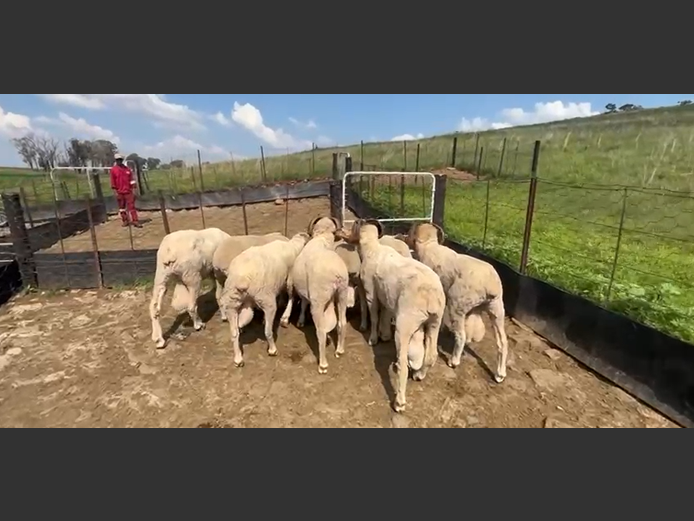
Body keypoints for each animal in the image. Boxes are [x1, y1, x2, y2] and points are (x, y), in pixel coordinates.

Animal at [219, 233, 311, 368]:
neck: (293, 246)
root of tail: (242, 278)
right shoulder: (289, 279)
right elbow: (291, 297)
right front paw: (284, 318)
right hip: (267, 300)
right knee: (267, 330)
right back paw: (272, 349)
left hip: (232, 305)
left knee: (234, 333)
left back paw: (238, 358)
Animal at [279, 217, 352, 374]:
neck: (322, 238)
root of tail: (336, 274)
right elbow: (303, 301)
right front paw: (300, 319)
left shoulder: (294, 281)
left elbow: (292, 297)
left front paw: (286, 318)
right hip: (342, 295)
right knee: (342, 323)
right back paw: (339, 350)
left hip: (318, 301)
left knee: (321, 332)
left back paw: (323, 365)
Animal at [338, 219, 446, 413]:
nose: (340, 231)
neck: (372, 249)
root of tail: (431, 295)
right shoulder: (386, 295)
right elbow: (385, 314)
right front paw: (384, 334)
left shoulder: (371, 292)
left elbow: (373, 315)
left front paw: (373, 338)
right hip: (435, 322)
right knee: (431, 355)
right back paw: (419, 375)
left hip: (405, 324)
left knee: (402, 363)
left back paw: (399, 402)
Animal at [407, 222, 509, 383]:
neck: (429, 245)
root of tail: (490, 285)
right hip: (497, 308)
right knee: (503, 342)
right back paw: (500, 374)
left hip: (457, 304)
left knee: (461, 336)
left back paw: (454, 361)